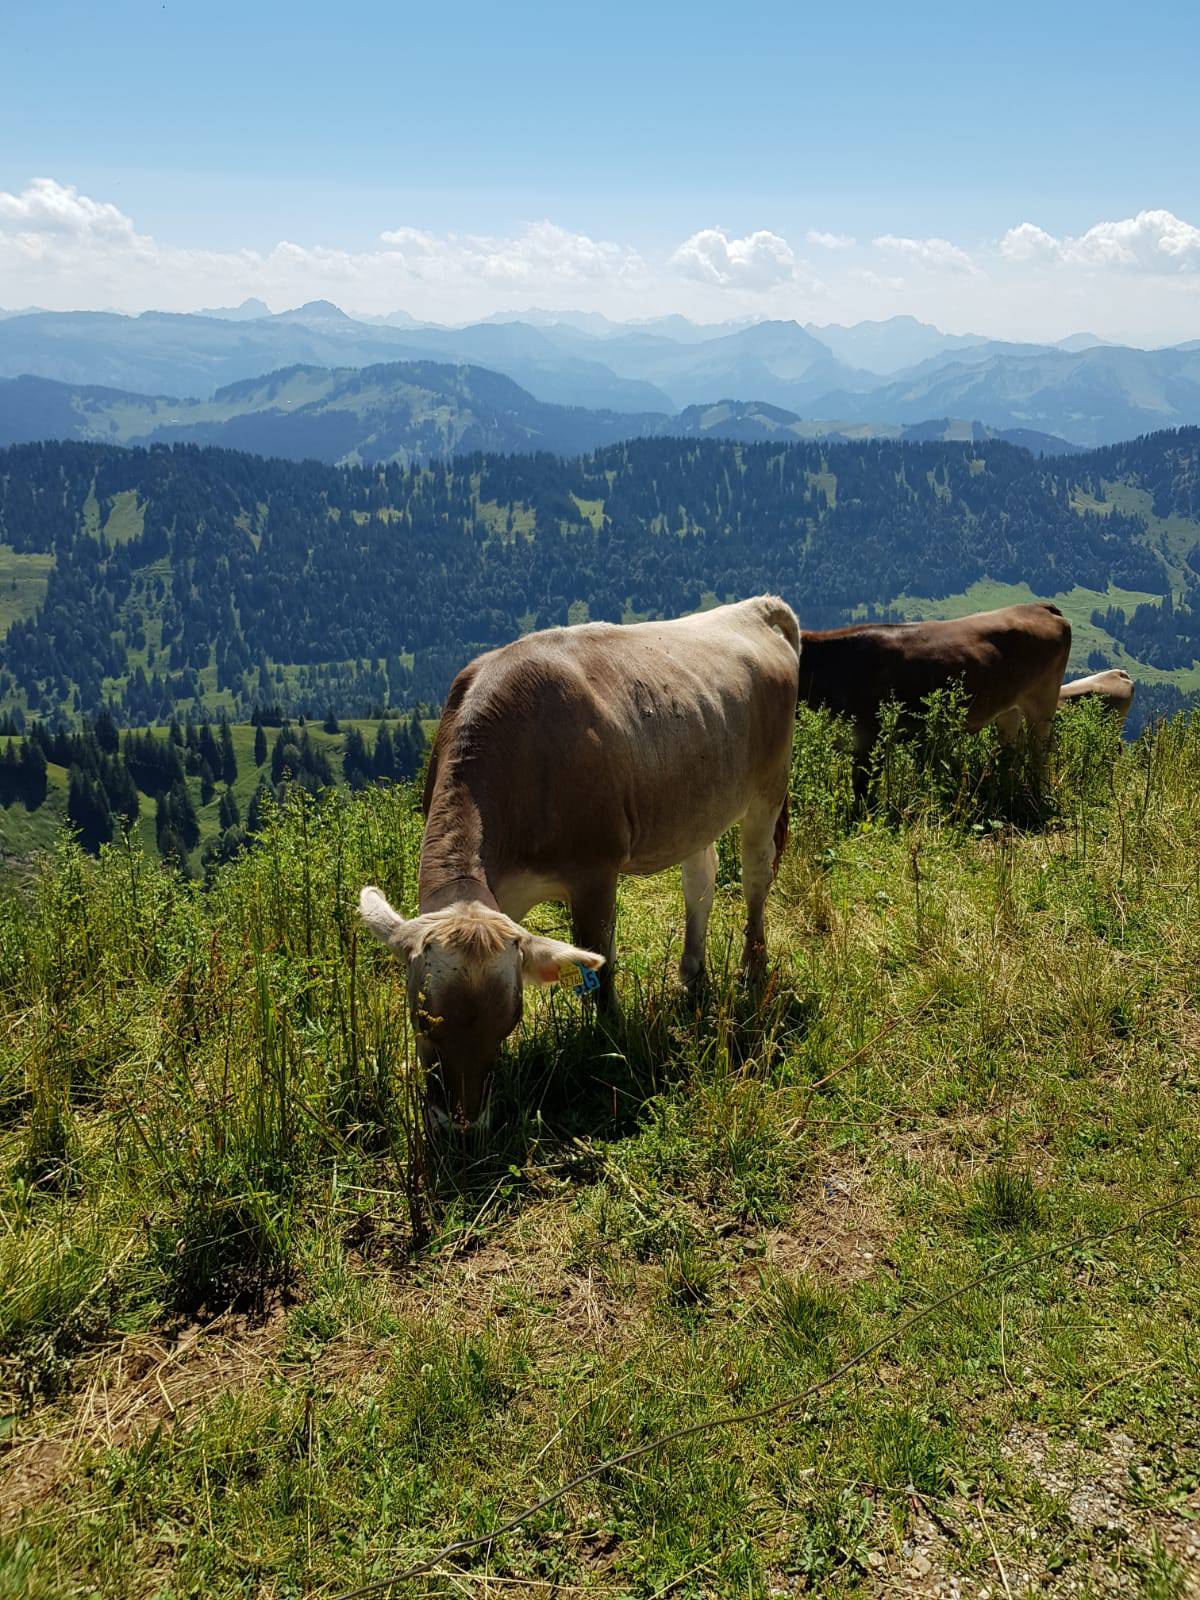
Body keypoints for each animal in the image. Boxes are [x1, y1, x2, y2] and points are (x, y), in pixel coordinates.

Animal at [359, 596, 801, 1129]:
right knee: (701, 880)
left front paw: (609, 1038)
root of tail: (755, 606)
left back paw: (752, 968)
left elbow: (599, 962)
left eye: (511, 1021)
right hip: (698, 805)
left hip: (768, 788)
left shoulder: (594, 872)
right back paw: (691, 976)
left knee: (756, 873)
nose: (462, 1126)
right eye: (420, 1018)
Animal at [798, 603, 1072, 796]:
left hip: (1042, 701)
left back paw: (1039, 794)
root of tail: (1039, 606)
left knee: (1040, 752)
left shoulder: (869, 736)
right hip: (1008, 708)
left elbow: (863, 787)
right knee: (1012, 748)